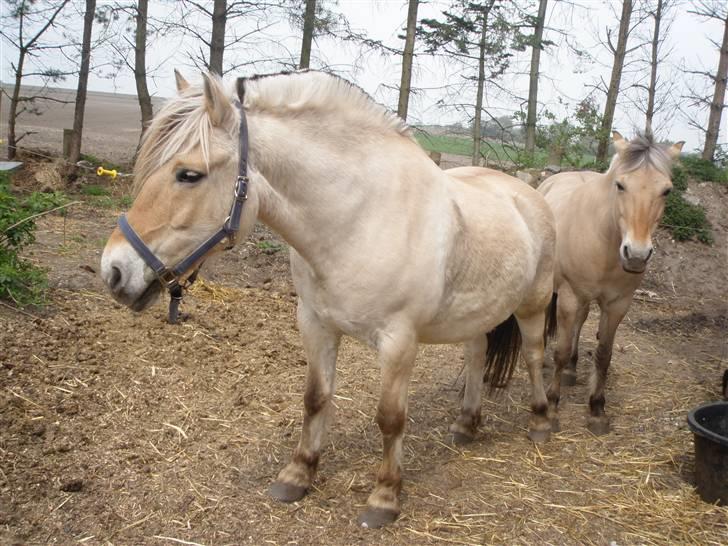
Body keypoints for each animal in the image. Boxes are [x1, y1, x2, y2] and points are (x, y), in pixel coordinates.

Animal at [101, 70, 556, 524]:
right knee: (477, 355)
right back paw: (466, 424)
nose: (114, 270)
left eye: (189, 175)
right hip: (476, 314)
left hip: (531, 306)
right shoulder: (316, 324)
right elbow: (315, 400)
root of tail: (529, 193)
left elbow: (390, 418)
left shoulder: (399, 342)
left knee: (533, 356)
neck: (358, 217)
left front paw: (384, 496)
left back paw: (540, 421)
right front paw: (298, 474)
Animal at [536, 133, 684, 434]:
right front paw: (554, 407)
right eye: (620, 185)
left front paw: (597, 409)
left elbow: (604, 354)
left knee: (580, 323)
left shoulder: (617, 304)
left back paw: (572, 370)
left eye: (667, 190)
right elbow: (561, 350)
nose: (636, 255)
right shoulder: (569, 297)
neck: (603, 241)